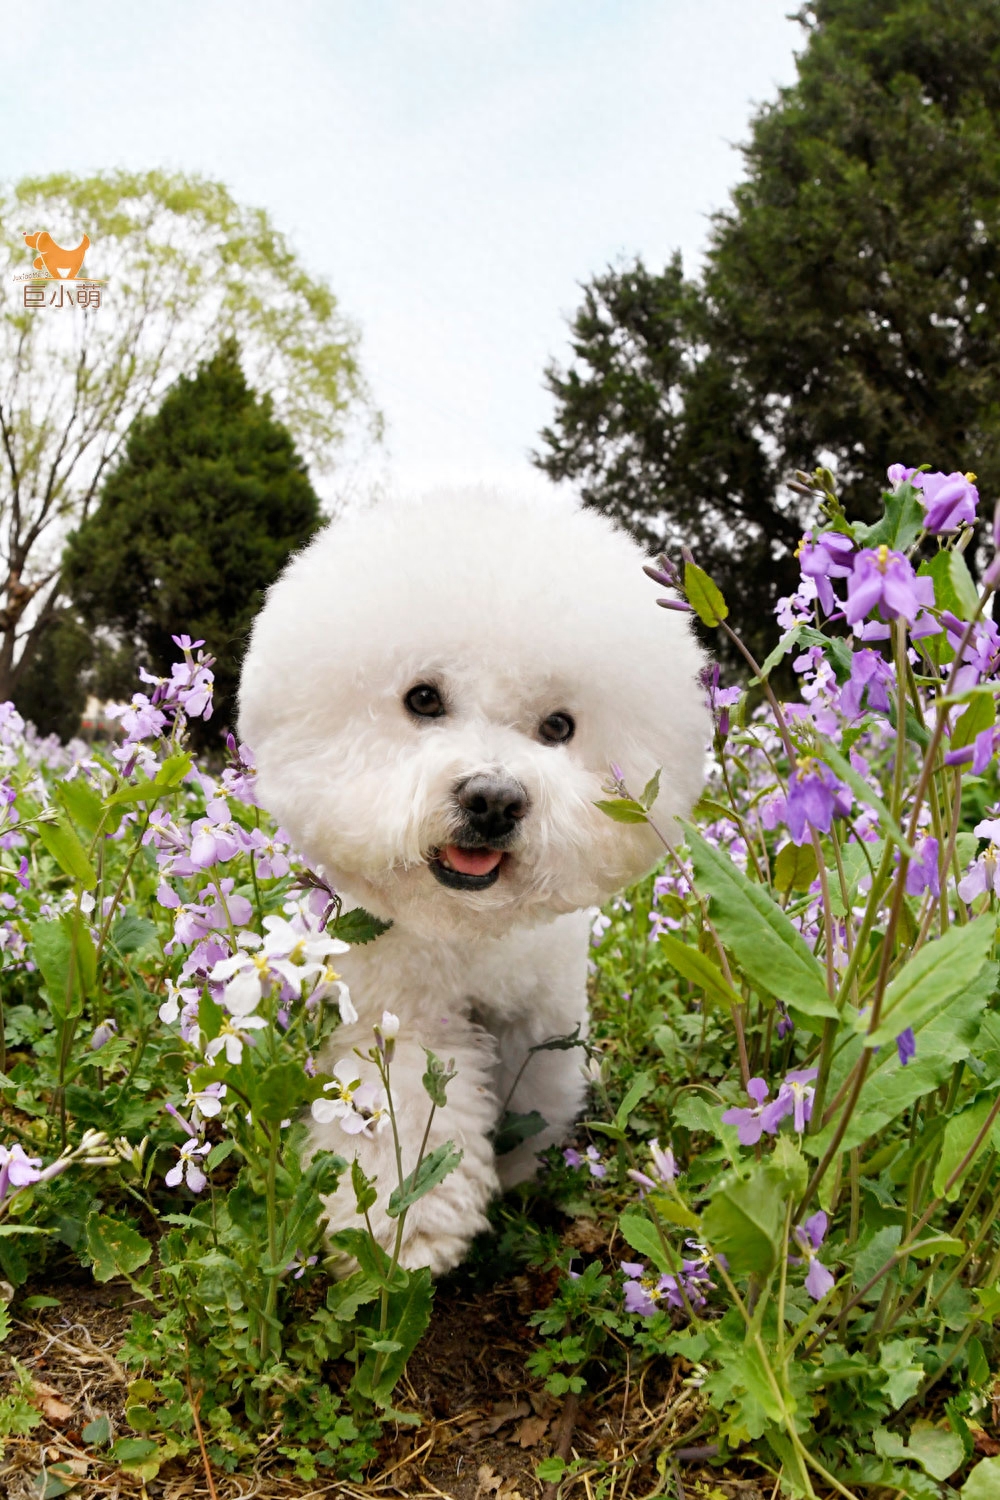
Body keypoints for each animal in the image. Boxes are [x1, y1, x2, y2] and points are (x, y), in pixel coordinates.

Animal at [239, 492, 710, 1278]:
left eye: (559, 726)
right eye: (424, 698)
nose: (493, 800)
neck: (467, 927)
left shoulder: (541, 1015)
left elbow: (535, 1095)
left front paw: (518, 1169)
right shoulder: (401, 1014)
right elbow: (406, 1118)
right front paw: (403, 1239)